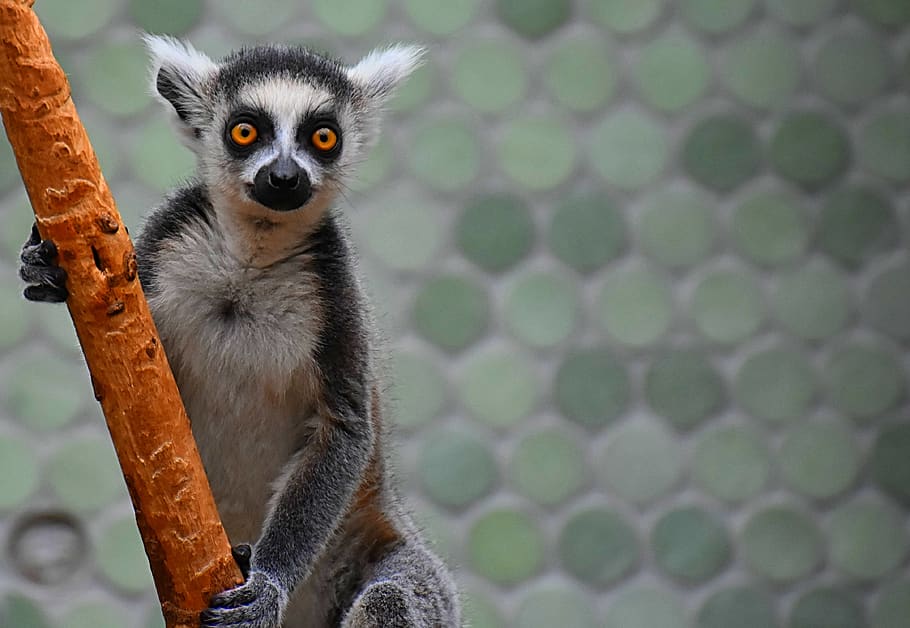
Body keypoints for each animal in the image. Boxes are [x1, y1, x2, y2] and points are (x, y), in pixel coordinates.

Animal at [17, 36, 460, 628]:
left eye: (323, 137)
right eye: (245, 131)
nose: (284, 177)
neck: (249, 260)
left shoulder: (335, 288)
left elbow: (345, 425)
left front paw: (267, 584)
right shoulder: (162, 247)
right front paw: (46, 268)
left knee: (392, 595)